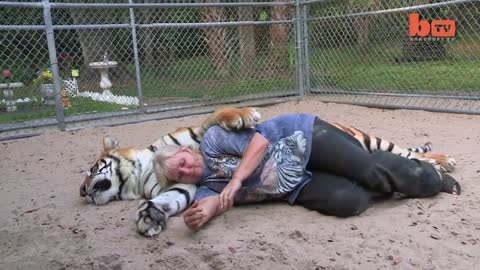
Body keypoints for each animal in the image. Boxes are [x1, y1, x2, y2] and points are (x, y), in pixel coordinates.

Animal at [79, 106, 454, 237]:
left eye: (92, 168)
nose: (83, 191)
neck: (141, 176)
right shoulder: (185, 186)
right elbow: (170, 201)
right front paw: (149, 218)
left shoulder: (199, 134)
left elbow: (219, 115)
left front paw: (243, 115)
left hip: (366, 140)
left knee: (404, 152)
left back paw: (445, 165)